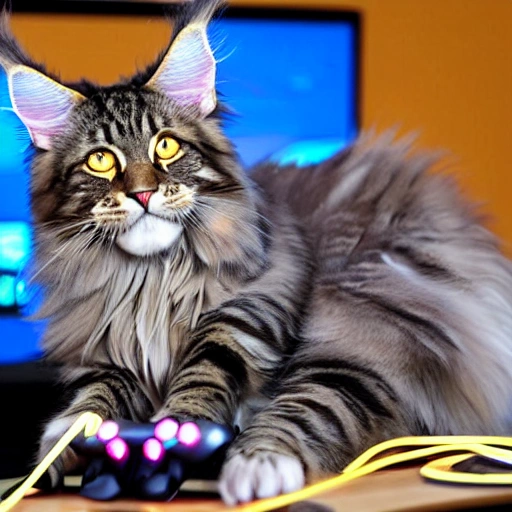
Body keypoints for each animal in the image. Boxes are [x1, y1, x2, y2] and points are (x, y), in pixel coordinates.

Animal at [1, 0, 512, 504]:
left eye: (165, 146)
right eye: (101, 160)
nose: (143, 193)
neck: (152, 282)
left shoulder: (244, 316)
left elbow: (204, 378)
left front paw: (174, 438)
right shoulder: (108, 351)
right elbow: (94, 399)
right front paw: (59, 449)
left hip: (366, 319)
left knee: (314, 399)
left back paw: (257, 464)